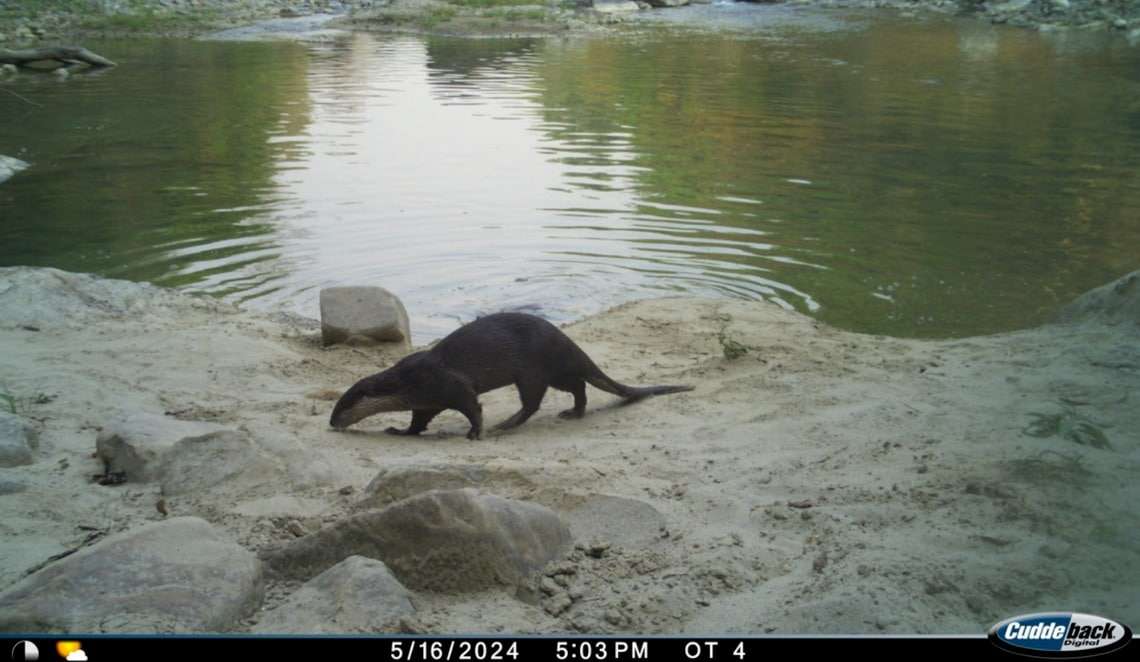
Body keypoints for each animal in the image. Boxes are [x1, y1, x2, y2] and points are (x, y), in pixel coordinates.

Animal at [329, 312, 693, 439]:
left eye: (341, 405)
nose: (331, 423)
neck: (408, 382)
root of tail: (566, 341)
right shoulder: (427, 400)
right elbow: (418, 422)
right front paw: (399, 430)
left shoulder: (448, 384)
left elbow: (472, 406)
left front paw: (476, 433)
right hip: (554, 373)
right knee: (577, 385)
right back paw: (573, 412)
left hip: (532, 370)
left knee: (533, 402)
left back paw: (505, 425)